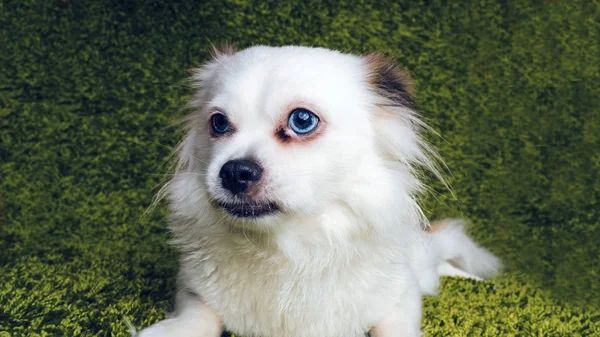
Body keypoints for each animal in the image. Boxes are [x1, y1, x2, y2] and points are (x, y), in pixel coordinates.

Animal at [136, 44, 502, 336]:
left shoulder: (402, 296)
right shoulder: (192, 290)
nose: (234, 171)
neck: (285, 247)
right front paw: (170, 331)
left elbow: (395, 325)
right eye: (218, 123)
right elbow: (200, 313)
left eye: (302, 120)